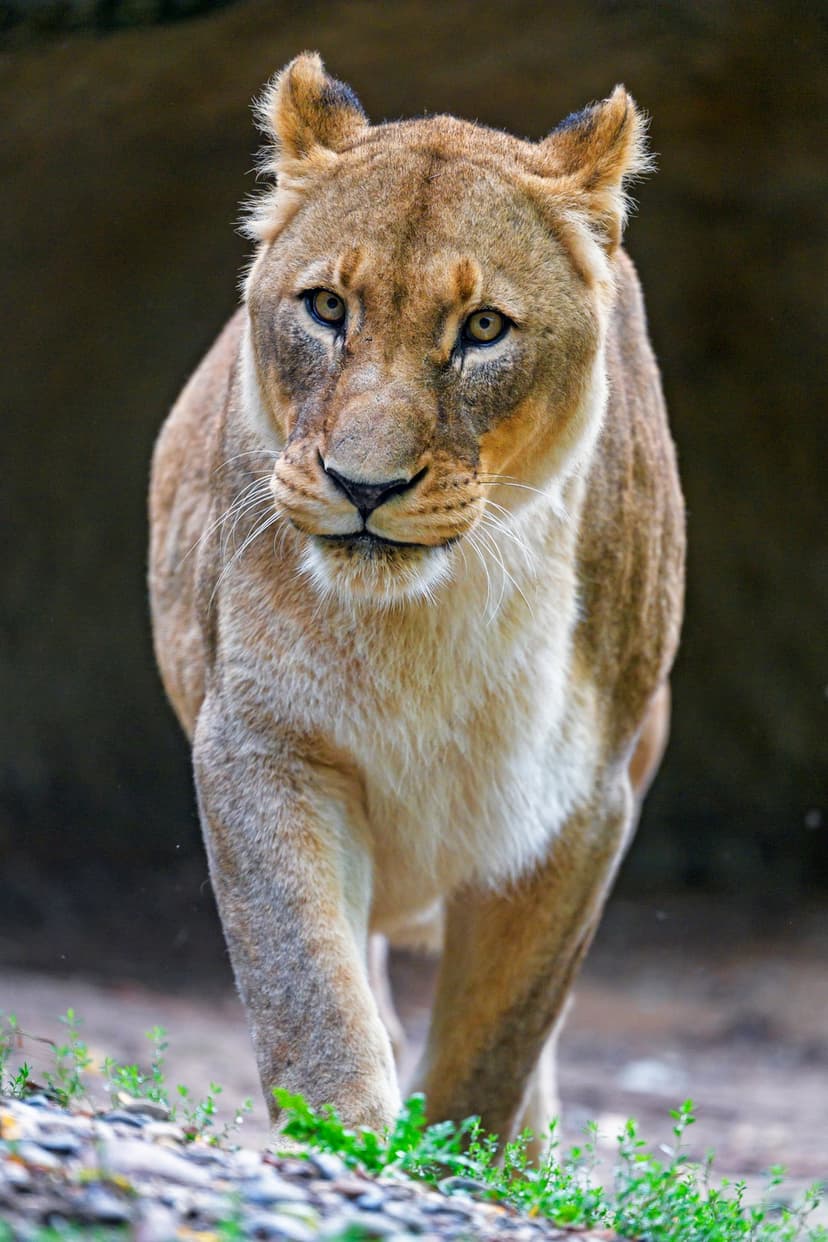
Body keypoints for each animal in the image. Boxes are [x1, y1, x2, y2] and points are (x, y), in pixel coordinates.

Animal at [149, 52, 684, 1146]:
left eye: (482, 329)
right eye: (326, 309)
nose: (364, 487)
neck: (429, 617)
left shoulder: (580, 804)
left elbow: (498, 1041)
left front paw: (460, 1156)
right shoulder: (263, 740)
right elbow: (307, 980)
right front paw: (342, 1140)